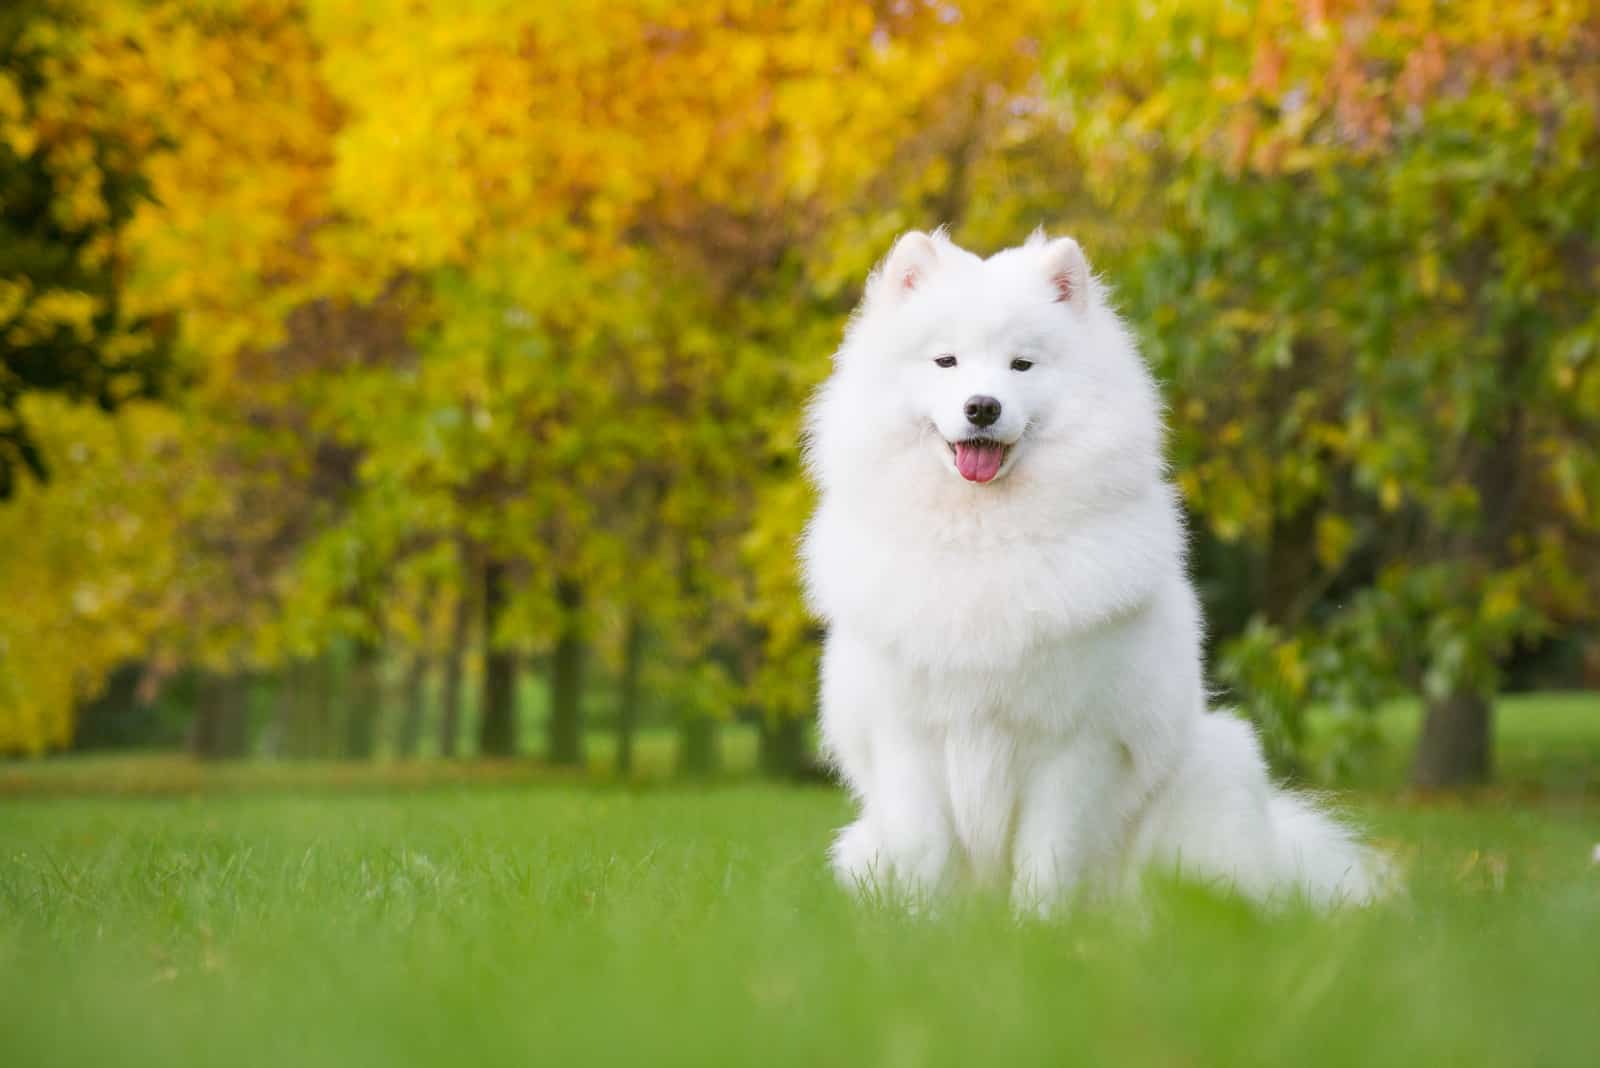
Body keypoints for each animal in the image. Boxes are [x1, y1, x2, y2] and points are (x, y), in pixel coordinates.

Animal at [806, 231, 1382, 908]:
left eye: (1021, 366)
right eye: (946, 361)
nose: (982, 407)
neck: (984, 538)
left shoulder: (1074, 743)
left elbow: (1048, 854)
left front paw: (1039, 927)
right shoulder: (906, 736)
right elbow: (925, 851)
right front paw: (924, 924)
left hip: (1216, 766)